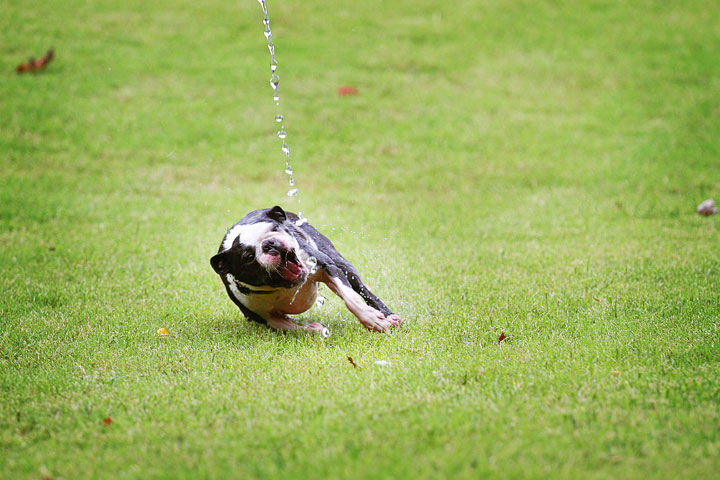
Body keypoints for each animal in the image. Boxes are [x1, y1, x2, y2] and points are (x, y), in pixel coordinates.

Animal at [211, 206, 402, 334]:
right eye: (249, 256)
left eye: (275, 228)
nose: (270, 243)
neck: (281, 288)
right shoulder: (264, 317)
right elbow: (293, 328)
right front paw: (315, 330)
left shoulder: (328, 268)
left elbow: (351, 298)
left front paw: (372, 320)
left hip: (342, 264)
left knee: (363, 290)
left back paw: (388, 315)